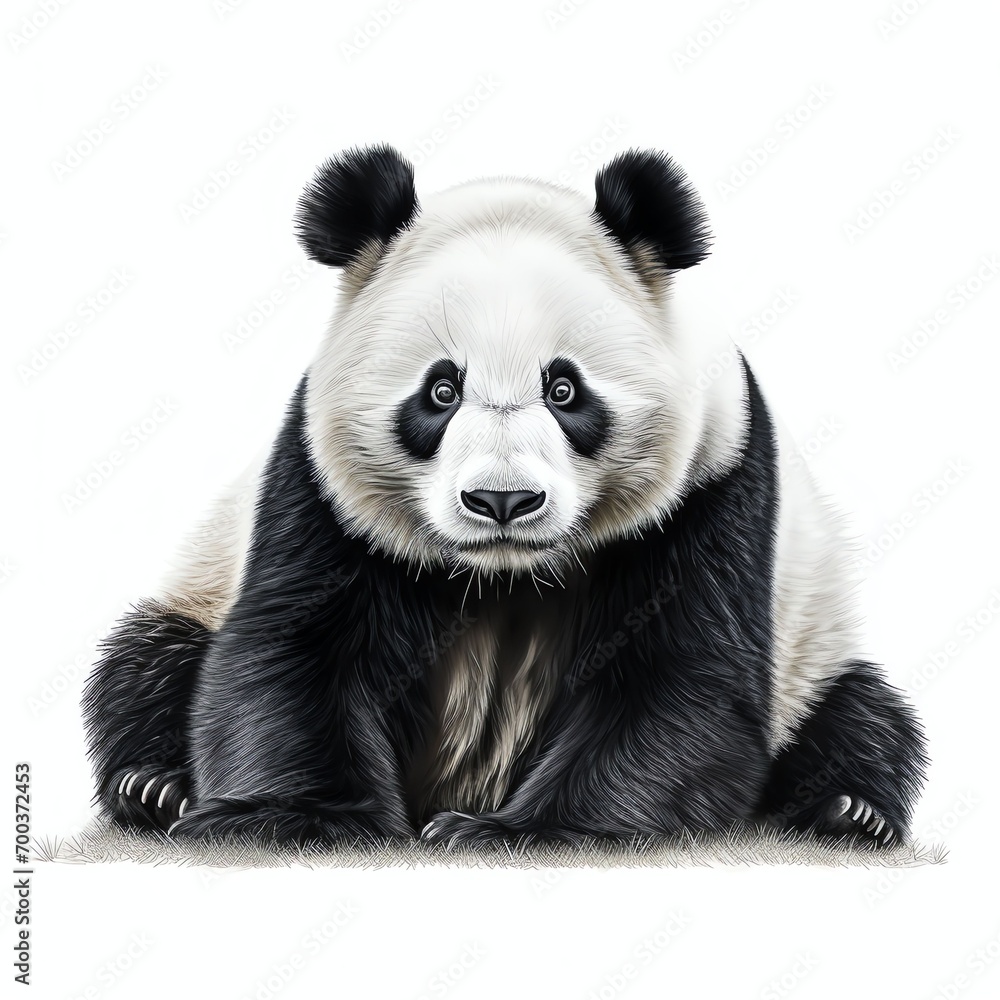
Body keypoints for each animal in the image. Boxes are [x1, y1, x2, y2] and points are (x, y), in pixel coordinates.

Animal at [81, 144, 927, 850]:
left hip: (813, 647)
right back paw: (151, 786)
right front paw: (289, 818)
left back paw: (848, 811)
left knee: (863, 715)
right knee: (146, 661)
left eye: (565, 389)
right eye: (440, 390)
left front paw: (519, 832)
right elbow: (297, 647)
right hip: (198, 587)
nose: (502, 501)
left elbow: (678, 677)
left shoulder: (714, 486)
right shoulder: (320, 489)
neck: (506, 574)